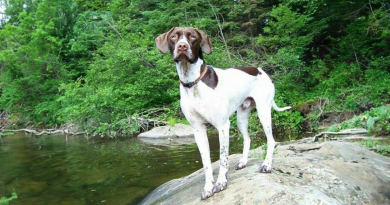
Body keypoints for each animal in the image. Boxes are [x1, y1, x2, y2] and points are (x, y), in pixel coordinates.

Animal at [155, 27, 290, 200]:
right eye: (174, 37)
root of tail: (260, 70)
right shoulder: (198, 130)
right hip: (241, 117)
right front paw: (208, 188)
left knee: (271, 140)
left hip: (263, 112)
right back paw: (243, 161)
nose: (182, 46)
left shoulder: (223, 126)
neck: (194, 83)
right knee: (247, 138)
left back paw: (266, 165)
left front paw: (221, 183)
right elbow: (206, 163)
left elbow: (223, 158)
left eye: (192, 36)